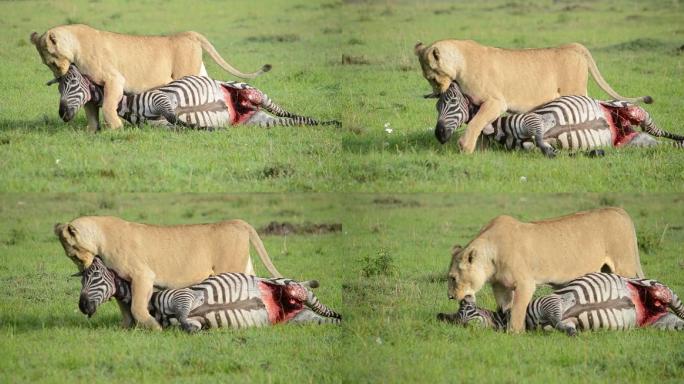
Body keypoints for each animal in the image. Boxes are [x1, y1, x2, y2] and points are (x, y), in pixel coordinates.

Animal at [30, 24, 270, 132]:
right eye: (47, 64)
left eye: (53, 62)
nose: (60, 76)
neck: (75, 46)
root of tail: (190, 33)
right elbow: (91, 110)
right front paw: (91, 131)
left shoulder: (114, 79)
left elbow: (107, 106)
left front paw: (116, 128)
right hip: (199, 71)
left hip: (186, 71)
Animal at [54, 216, 282, 330]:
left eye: (74, 255)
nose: (83, 269)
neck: (100, 237)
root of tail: (239, 222)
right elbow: (125, 308)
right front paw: (125, 328)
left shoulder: (143, 275)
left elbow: (137, 308)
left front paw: (155, 327)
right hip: (245, 267)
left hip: (231, 267)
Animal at [414, 39, 656, 153]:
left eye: (432, 77)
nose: (438, 93)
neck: (460, 63)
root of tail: (575, 46)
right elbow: (482, 126)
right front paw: (482, 148)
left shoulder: (496, 102)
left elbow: (476, 123)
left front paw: (466, 147)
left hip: (575, 90)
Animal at [446, 207, 644, 332]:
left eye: (453, 278)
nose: (451, 297)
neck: (491, 256)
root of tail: (618, 210)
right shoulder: (500, 287)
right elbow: (506, 308)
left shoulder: (525, 284)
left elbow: (517, 311)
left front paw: (515, 333)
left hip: (624, 264)